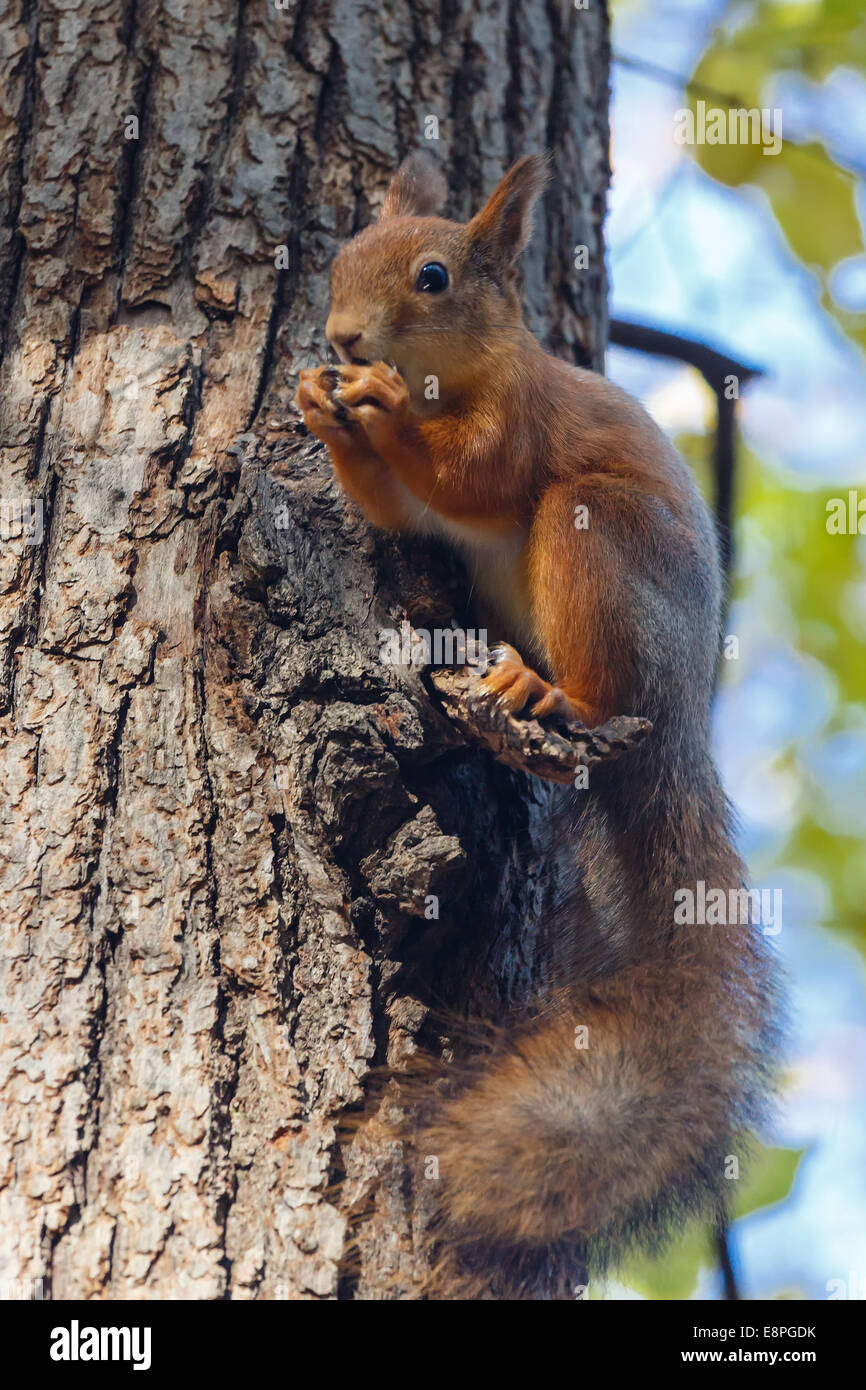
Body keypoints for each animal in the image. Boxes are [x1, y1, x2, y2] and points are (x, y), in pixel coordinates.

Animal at [296, 152, 781, 1300]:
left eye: (432, 277)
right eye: (341, 254)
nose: (342, 341)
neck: (462, 369)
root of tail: (681, 729)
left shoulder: (522, 419)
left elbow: (475, 475)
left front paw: (382, 407)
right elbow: (397, 508)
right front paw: (320, 407)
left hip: (596, 540)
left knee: (597, 668)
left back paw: (552, 695)